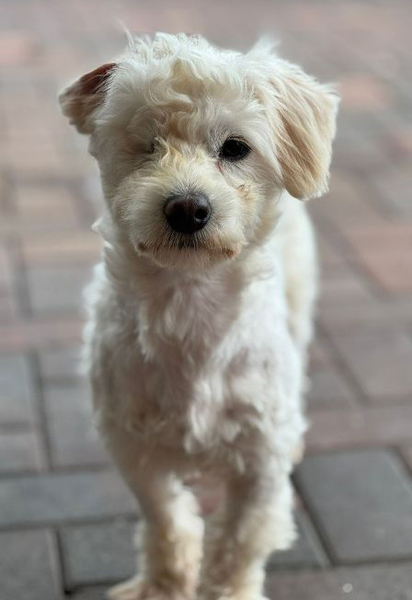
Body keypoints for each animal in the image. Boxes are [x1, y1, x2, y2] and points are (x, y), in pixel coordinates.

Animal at [59, 33, 338, 600]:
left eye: (235, 148)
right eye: (146, 144)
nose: (187, 208)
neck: (189, 307)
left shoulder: (258, 462)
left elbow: (238, 544)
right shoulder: (134, 448)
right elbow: (166, 520)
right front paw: (163, 584)